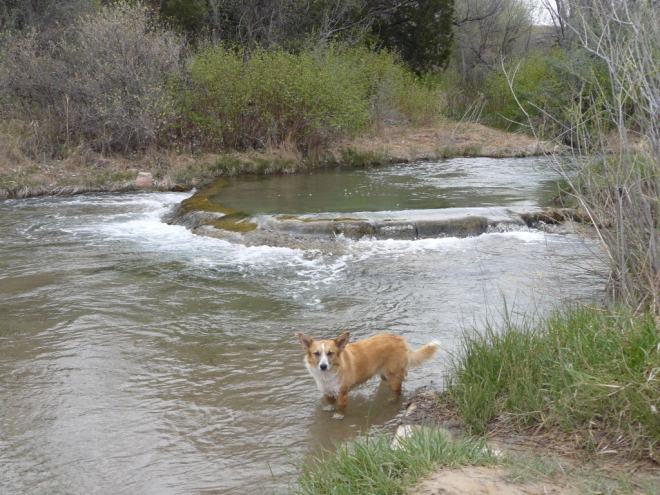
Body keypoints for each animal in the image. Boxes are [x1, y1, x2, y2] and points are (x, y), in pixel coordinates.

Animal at [298, 332, 438, 420]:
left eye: (330, 353)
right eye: (316, 353)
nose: (323, 366)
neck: (328, 374)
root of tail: (400, 339)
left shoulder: (342, 393)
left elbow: (340, 407)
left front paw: (339, 415)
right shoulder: (327, 391)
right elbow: (329, 402)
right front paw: (328, 408)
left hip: (394, 375)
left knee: (398, 391)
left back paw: (392, 400)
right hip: (384, 375)